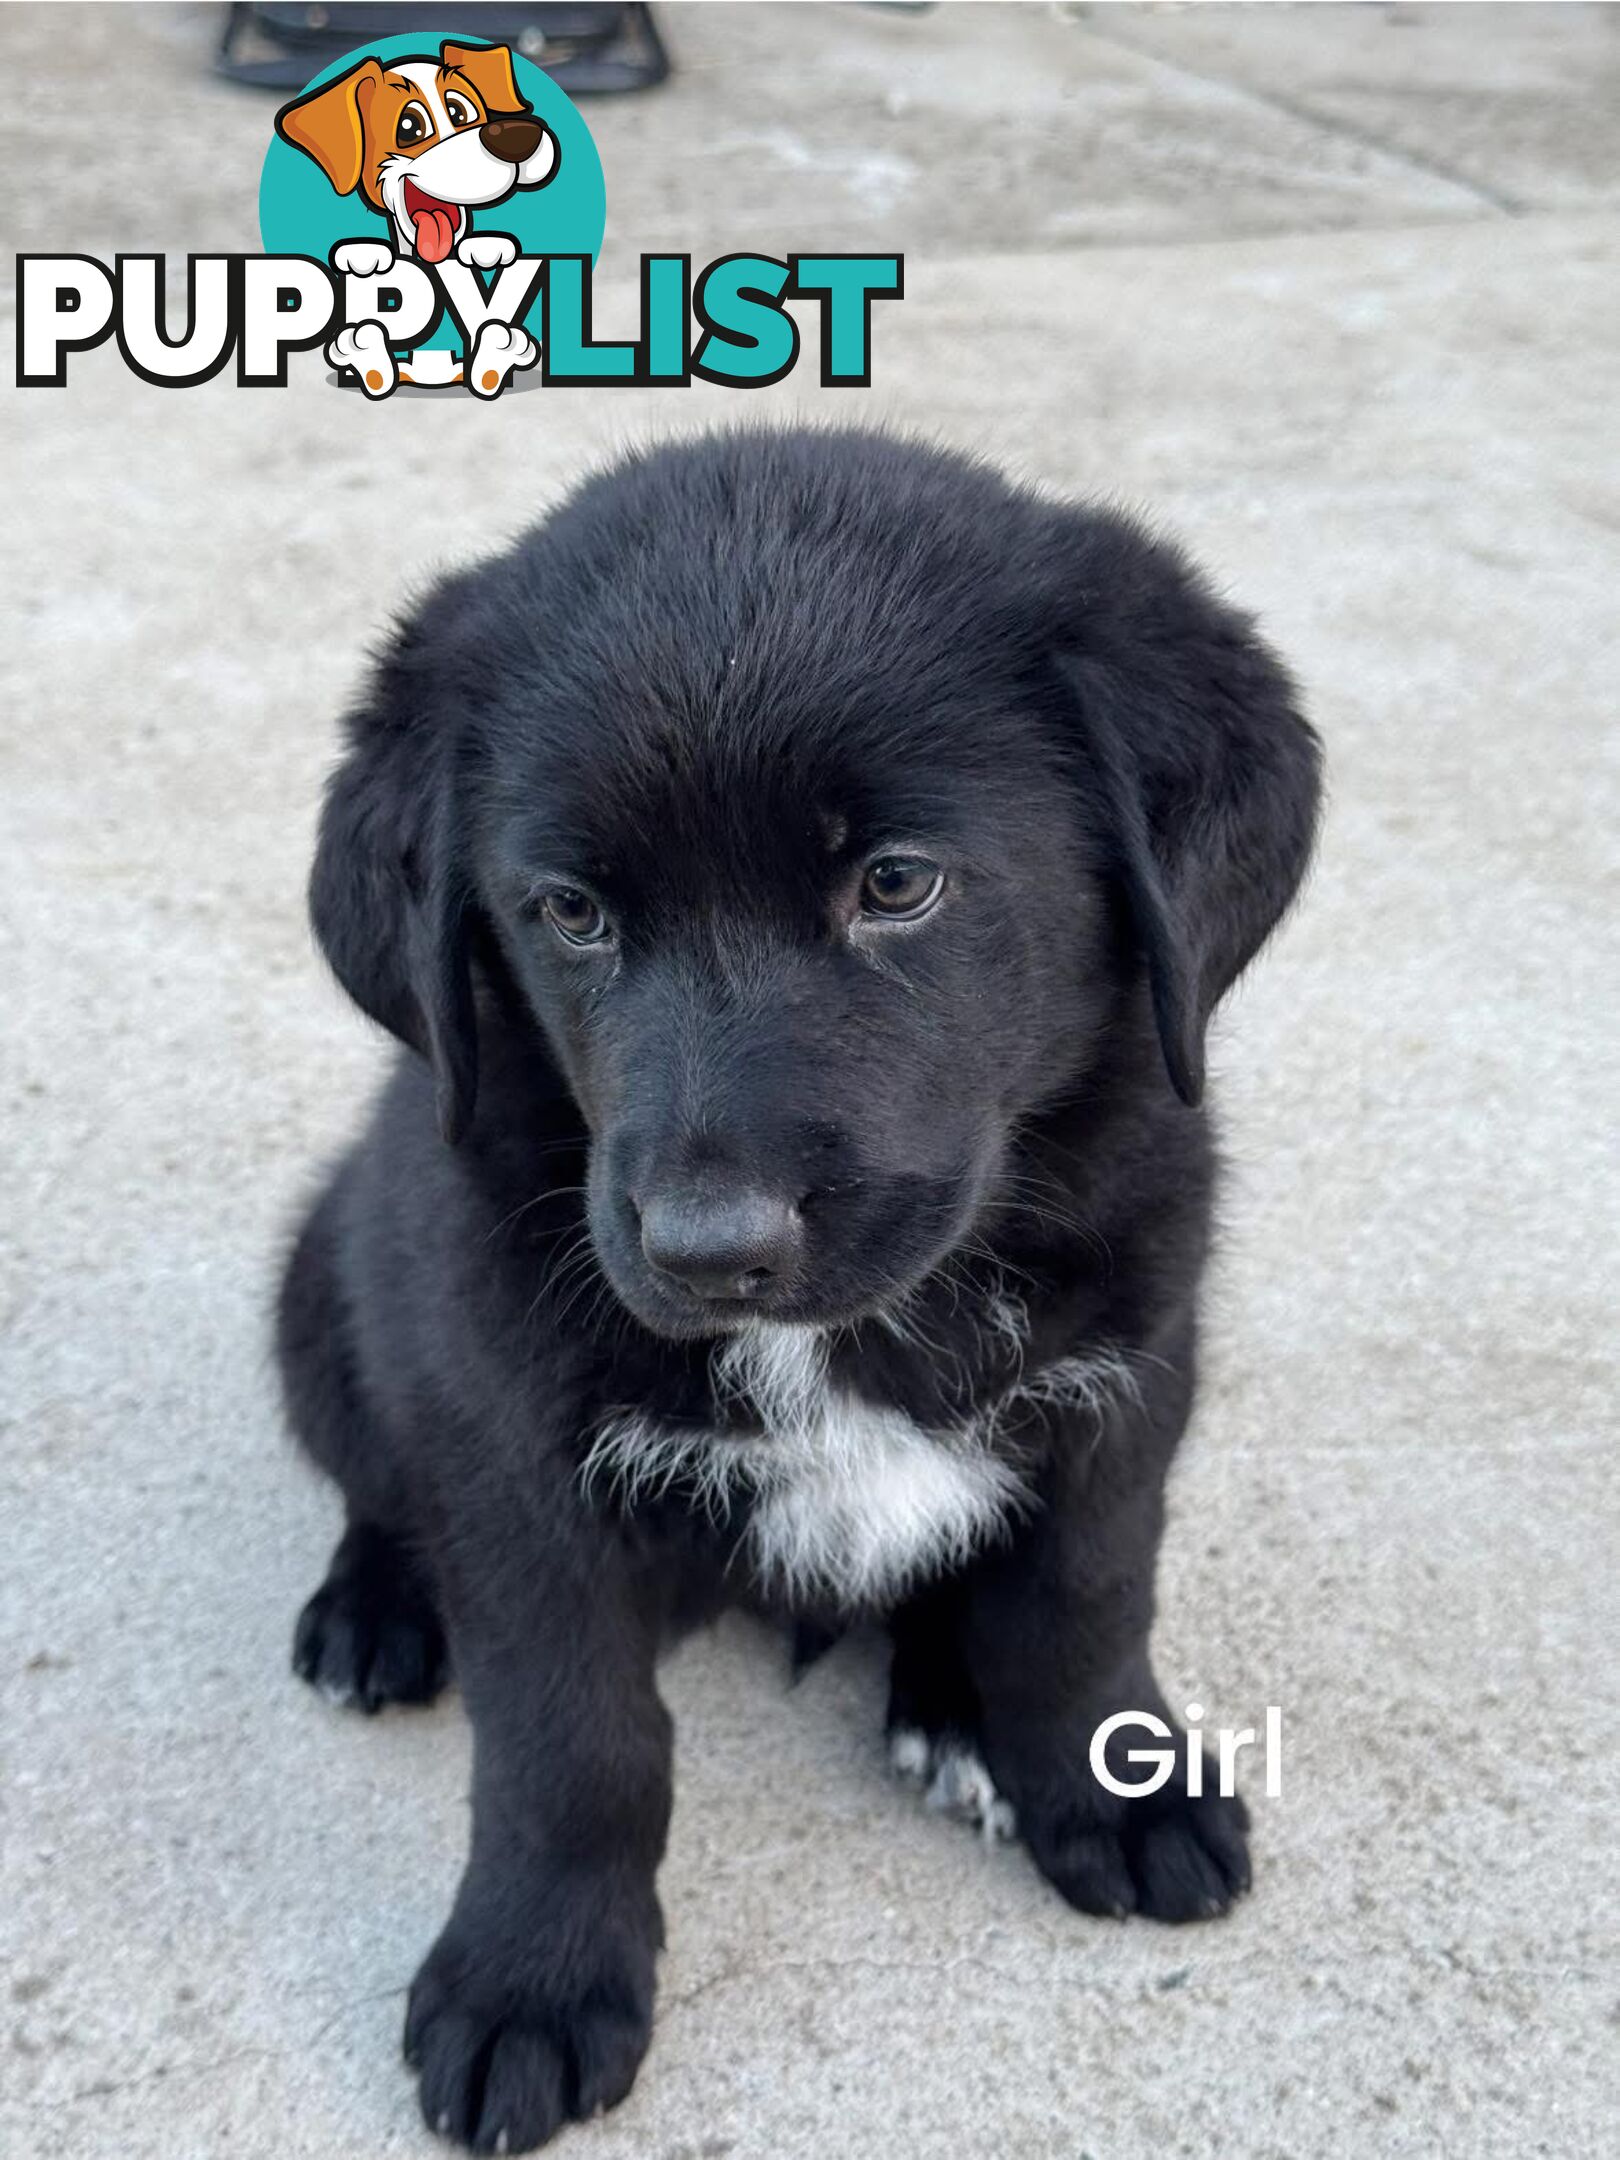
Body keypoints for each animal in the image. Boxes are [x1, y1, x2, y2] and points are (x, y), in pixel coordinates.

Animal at [278, 429, 1321, 2151]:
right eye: (571, 911)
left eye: (895, 883)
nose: (709, 1251)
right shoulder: (512, 1454)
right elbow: (575, 1745)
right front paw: (531, 1980)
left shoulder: (1129, 1370)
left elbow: (1085, 1599)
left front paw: (1111, 1782)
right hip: (320, 1288)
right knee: (372, 1478)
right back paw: (373, 1607)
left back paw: (953, 1707)